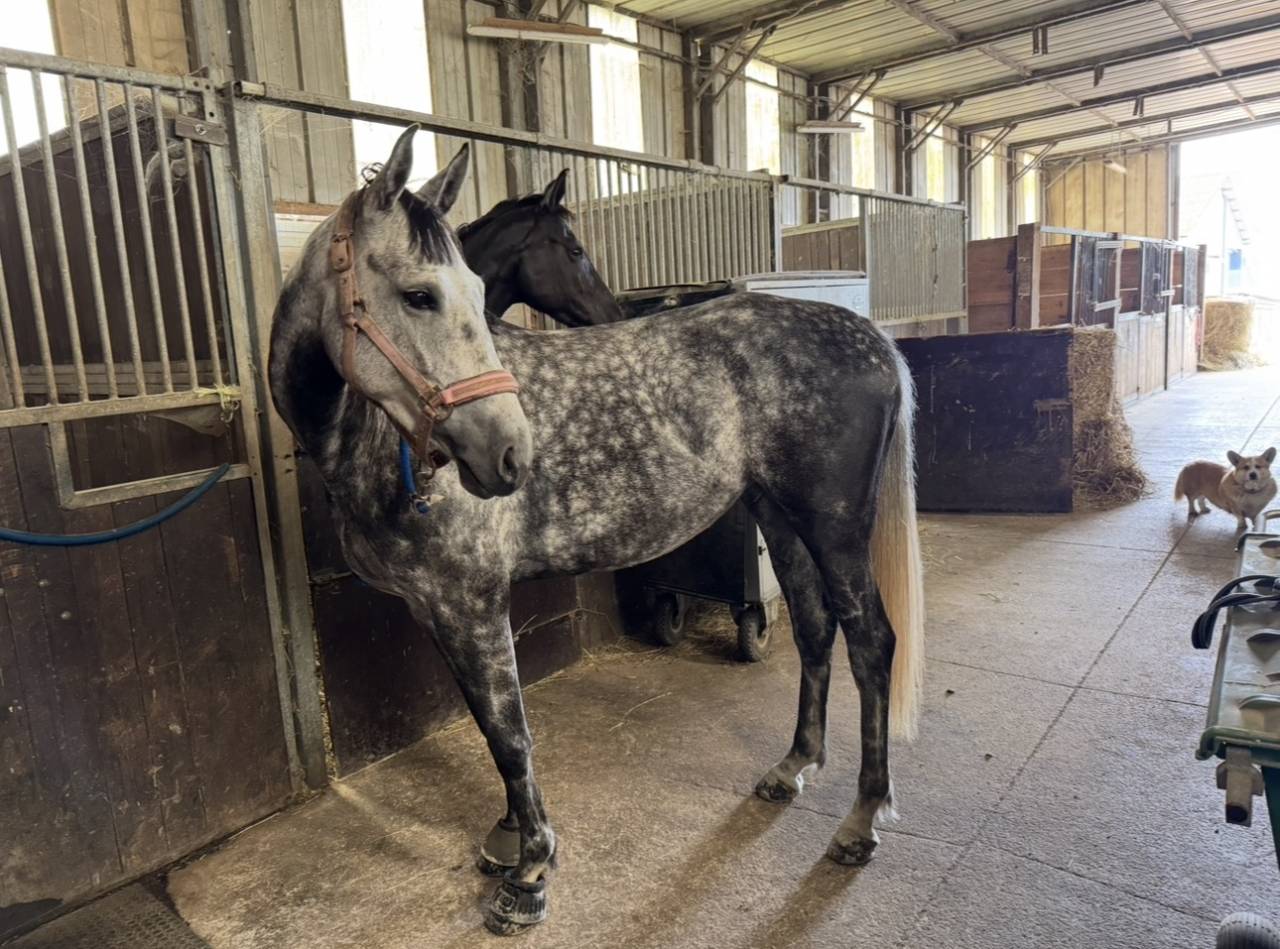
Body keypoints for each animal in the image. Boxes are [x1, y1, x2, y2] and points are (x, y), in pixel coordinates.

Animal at [268, 127, 925, 936]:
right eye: (419, 294)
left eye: (477, 294)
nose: (509, 452)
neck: (369, 438)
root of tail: (868, 335)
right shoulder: (438, 606)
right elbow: (488, 726)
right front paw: (510, 839)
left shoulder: (471, 600)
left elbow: (512, 733)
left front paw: (529, 873)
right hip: (781, 519)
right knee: (811, 627)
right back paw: (791, 767)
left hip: (834, 526)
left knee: (872, 642)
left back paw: (861, 821)